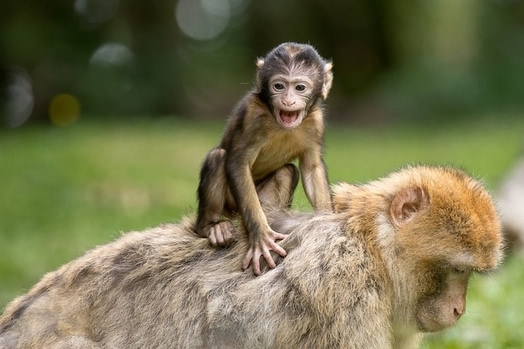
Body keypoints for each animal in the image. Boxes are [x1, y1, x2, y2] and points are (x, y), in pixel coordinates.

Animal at [194, 41, 334, 274]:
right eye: (279, 86)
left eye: (299, 88)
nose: (287, 101)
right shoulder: (253, 116)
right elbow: (238, 163)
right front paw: (260, 236)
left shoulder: (316, 122)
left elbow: (311, 168)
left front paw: (326, 223)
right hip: (231, 205)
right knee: (218, 157)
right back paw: (211, 227)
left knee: (287, 171)